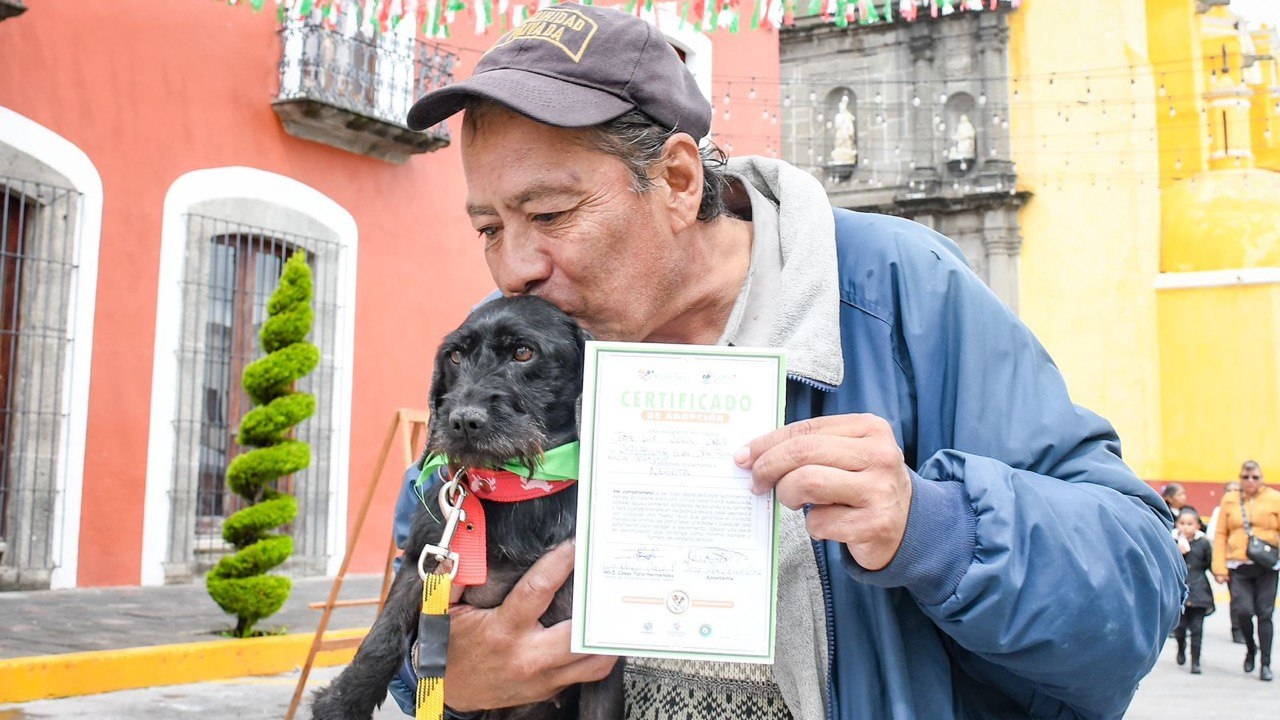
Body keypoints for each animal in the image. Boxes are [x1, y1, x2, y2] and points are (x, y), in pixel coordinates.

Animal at [314, 294, 624, 712]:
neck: (516, 489)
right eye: (456, 356)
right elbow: (383, 635)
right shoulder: (423, 560)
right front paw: (343, 701)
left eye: (523, 352)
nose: (463, 421)